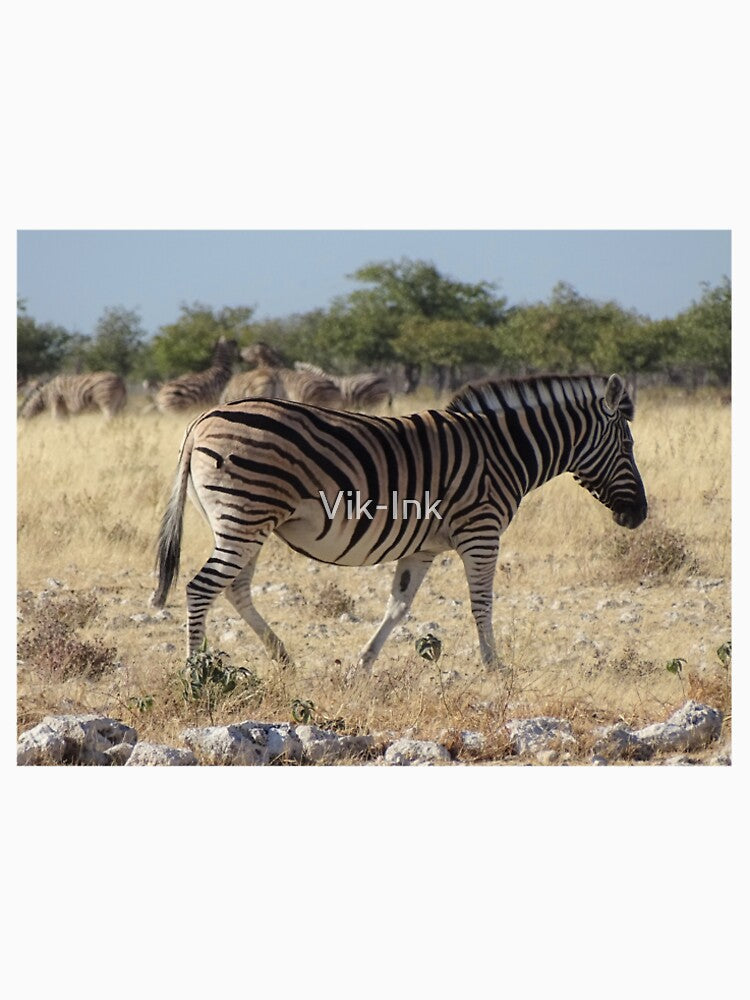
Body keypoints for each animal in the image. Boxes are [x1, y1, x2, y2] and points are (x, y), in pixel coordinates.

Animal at [151, 372, 647, 670]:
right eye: (628, 445)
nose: (640, 515)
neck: (504, 450)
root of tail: (201, 421)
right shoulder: (481, 532)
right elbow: (482, 604)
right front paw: (495, 667)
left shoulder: (422, 548)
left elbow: (399, 607)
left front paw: (362, 665)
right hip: (246, 514)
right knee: (202, 588)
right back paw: (196, 675)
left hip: (246, 521)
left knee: (233, 587)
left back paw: (283, 659)